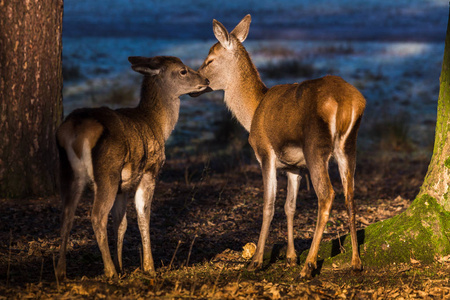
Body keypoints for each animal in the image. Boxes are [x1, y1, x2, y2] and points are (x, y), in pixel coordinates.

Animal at [55, 55, 209, 278]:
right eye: (183, 71)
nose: (206, 80)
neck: (158, 125)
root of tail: (77, 129)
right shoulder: (149, 171)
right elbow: (143, 216)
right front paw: (149, 267)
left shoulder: (123, 186)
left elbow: (121, 223)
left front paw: (122, 266)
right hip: (107, 173)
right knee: (97, 216)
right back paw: (109, 271)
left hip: (68, 172)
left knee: (66, 214)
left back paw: (61, 271)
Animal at [195, 15, 368, 278]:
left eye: (210, 60)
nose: (196, 81)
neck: (253, 112)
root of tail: (348, 102)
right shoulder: (294, 167)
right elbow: (290, 206)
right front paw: (290, 257)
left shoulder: (265, 153)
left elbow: (268, 204)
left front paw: (256, 261)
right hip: (349, 145)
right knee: (350, 194)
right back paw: (355, 261)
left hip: (315, 146)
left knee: (327, 194)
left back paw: (309, 266)